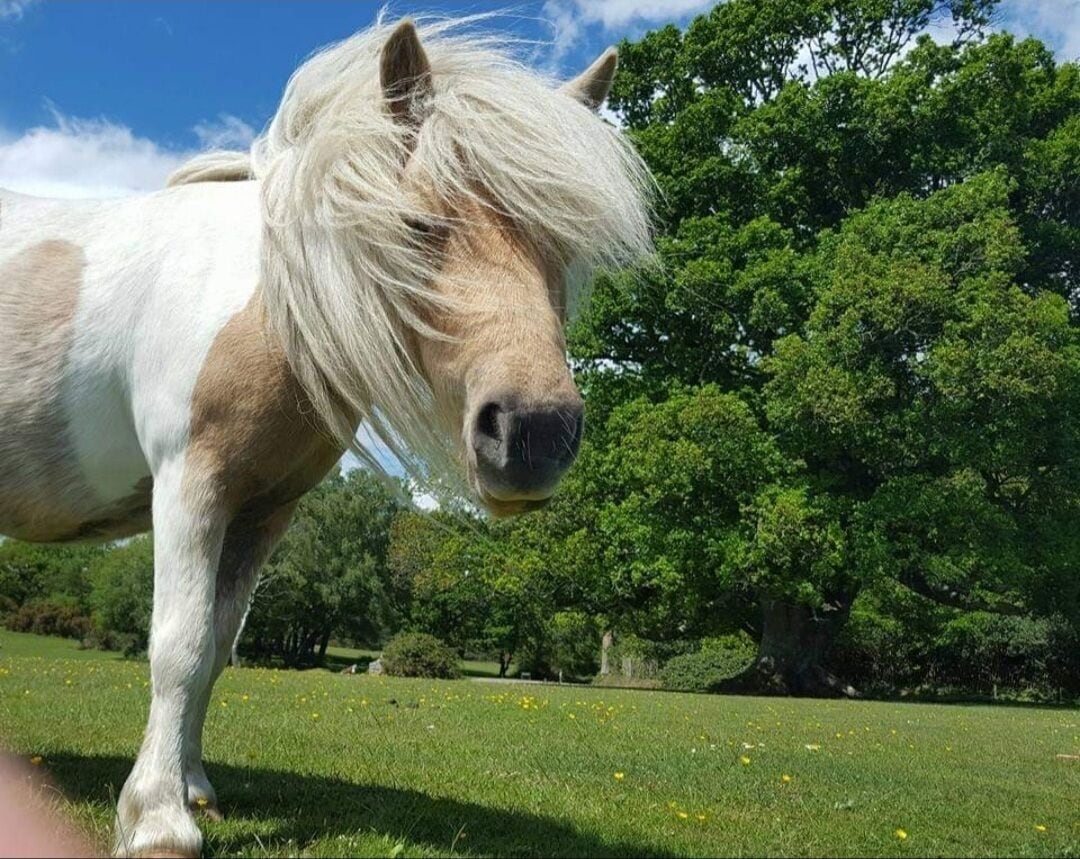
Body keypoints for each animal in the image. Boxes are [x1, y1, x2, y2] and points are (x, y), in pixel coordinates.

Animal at [0, 15, 652, 857]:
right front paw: (158, 819)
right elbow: (176, 644)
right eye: (416, 225)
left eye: (564, 249)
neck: (269, 303)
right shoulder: (190, 483)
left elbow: (217, 648)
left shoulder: (261, 510)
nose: (534, 433)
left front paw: (194, 787)